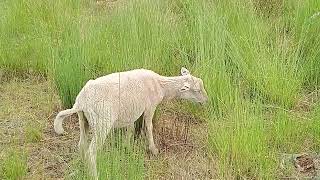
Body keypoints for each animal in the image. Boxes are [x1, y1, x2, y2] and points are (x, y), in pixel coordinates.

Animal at [53, 67, 208, 179]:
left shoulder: (130, 112)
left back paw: (83, 169)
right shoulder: (150, 107)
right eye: (197, 90)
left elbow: (131, 129)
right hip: (103, 123)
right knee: (91, 151)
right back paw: (95, 175)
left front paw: (127, 147)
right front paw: (154, 150)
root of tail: (81, 102)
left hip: (83, 119)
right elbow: (148, 127)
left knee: (81, 145)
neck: (162, 85)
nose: (207, 101)